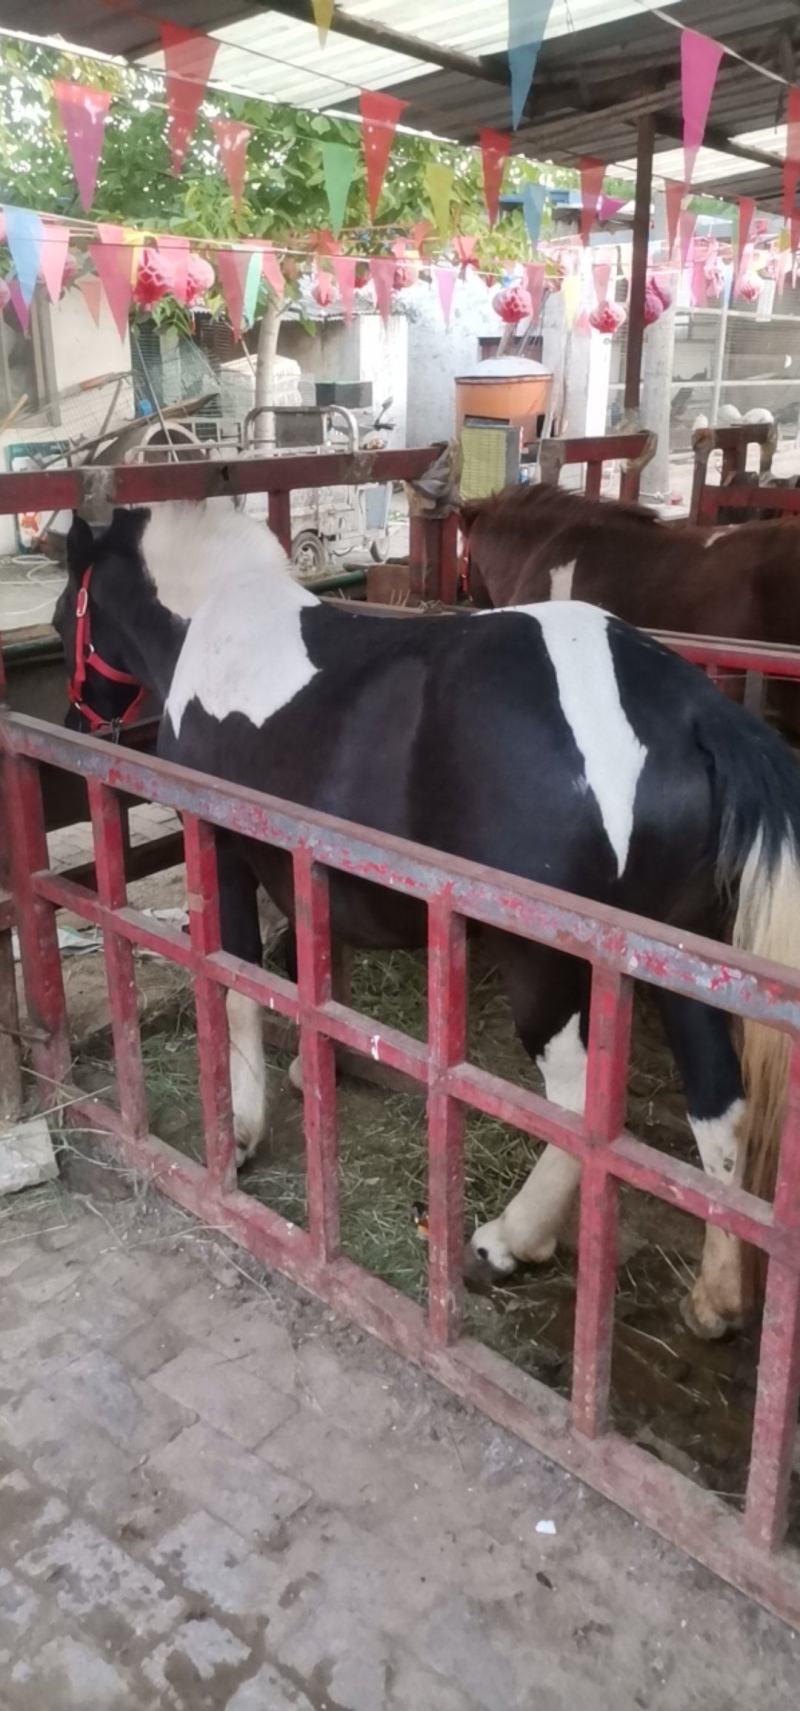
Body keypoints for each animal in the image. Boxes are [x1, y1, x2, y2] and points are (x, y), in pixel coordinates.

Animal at [52, 500, 800, 1341]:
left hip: (547, 964)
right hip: (682, 959)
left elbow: (241, 986)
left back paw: (510, 1240)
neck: (216, 621)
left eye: (65, 610)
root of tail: (687, 710)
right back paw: (715, 1295)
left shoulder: (227, 854)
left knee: (579, 1109)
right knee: (719, 1106)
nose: (74, 713)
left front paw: (241, 1132)